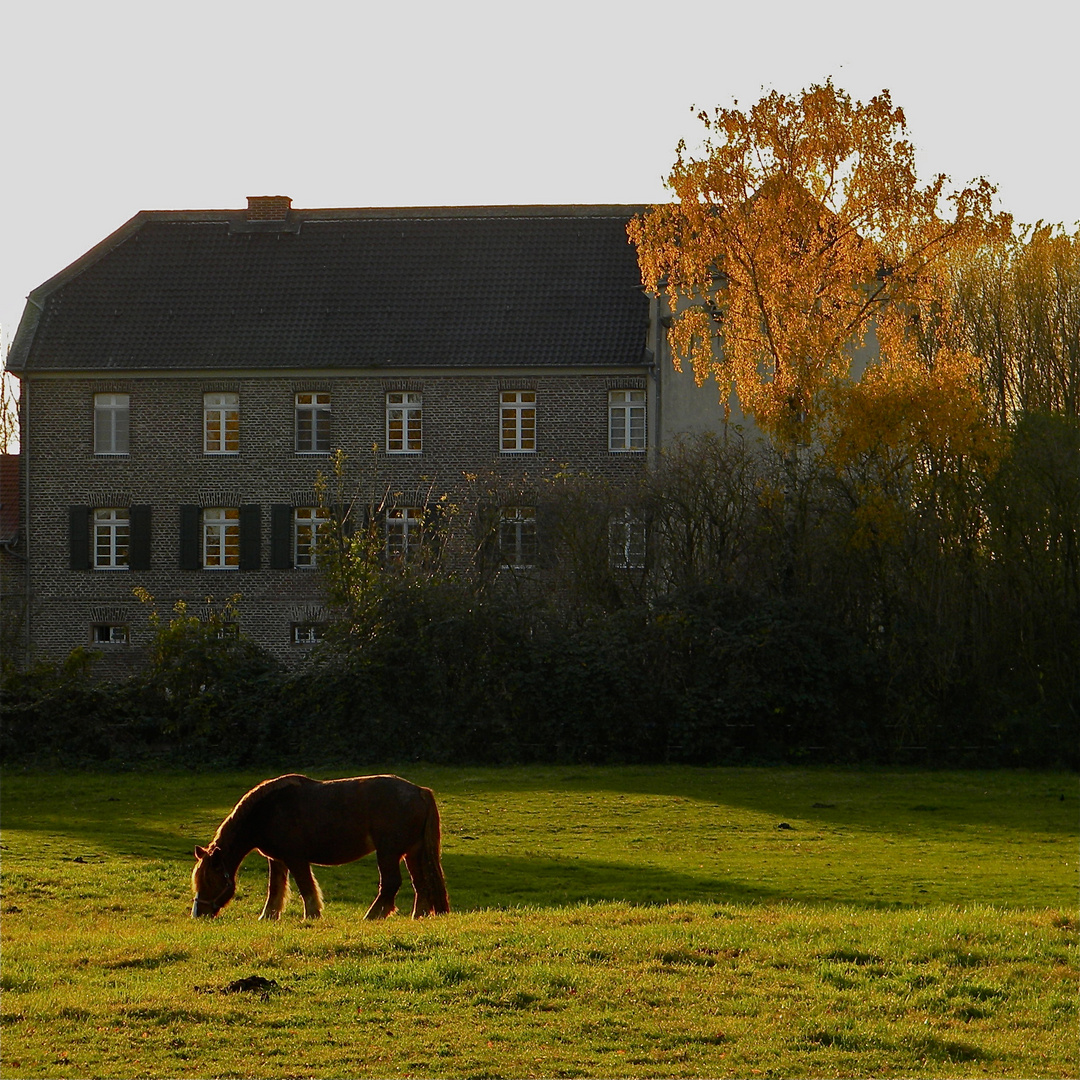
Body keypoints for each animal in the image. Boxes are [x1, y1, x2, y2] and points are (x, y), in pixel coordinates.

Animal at [192, 777, 449, 920]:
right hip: (411, 853)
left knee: (391, 884)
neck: (267, 811)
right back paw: (418, 915)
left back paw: (372, 915)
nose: (198, 914)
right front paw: (268, 916)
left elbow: (306, 887)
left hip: (388, 854)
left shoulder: (295, 859)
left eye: (210, 881)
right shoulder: (278, 860)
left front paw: (312, 915)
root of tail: (420, 791)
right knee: (420, 884)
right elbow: (275, 890)